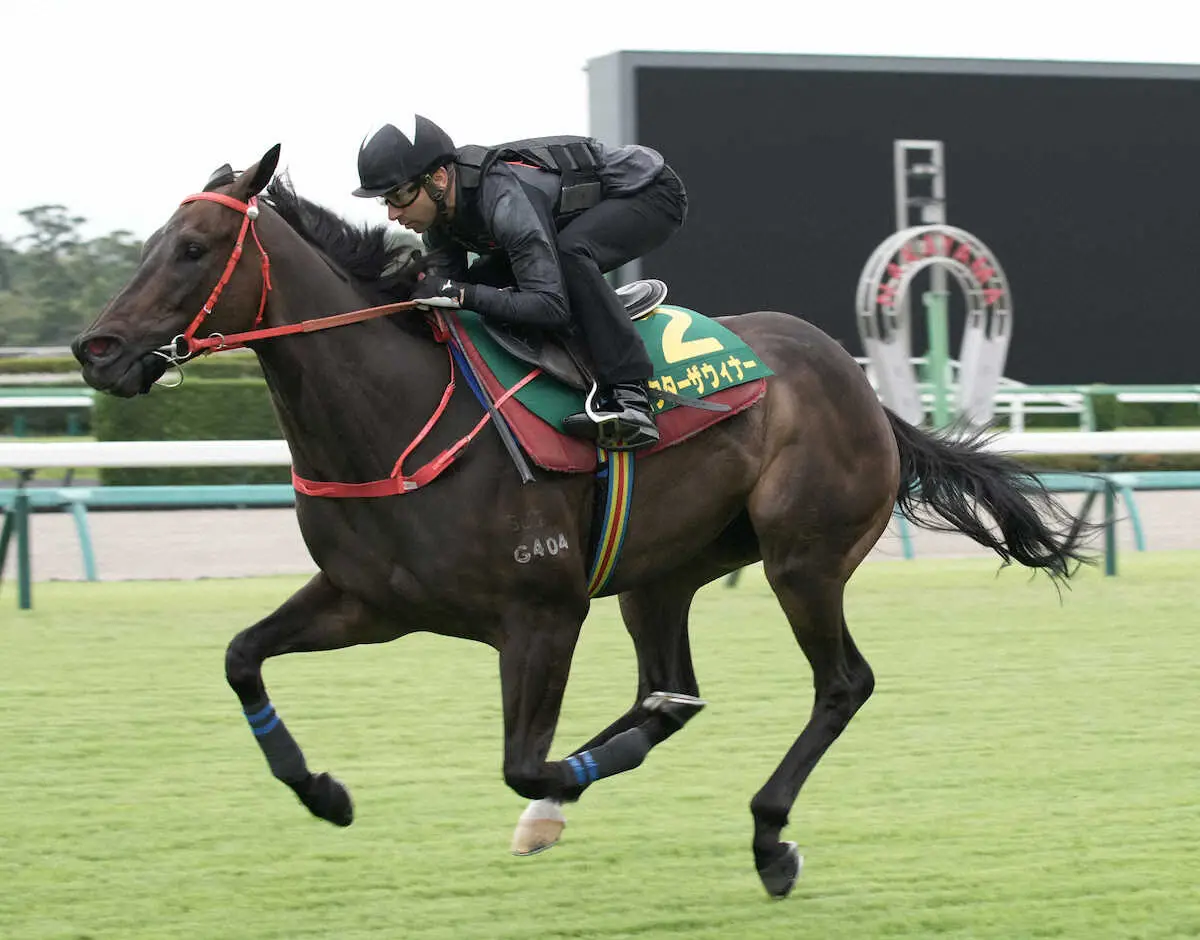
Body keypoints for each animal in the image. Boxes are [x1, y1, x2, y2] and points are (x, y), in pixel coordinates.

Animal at [70, 145, 1094, 897]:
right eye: (152, 240)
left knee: (840, 684)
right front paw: (324, 793)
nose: (97, 349)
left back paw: (768, 838)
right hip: (662, 573)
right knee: (672, 689)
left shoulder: (542, 614)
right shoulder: (368, 602)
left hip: (801, 558)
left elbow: (527, 764)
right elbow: (241, 655)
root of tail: (859, 384)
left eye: (193, 248)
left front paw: (555, 793)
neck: (397, 413)